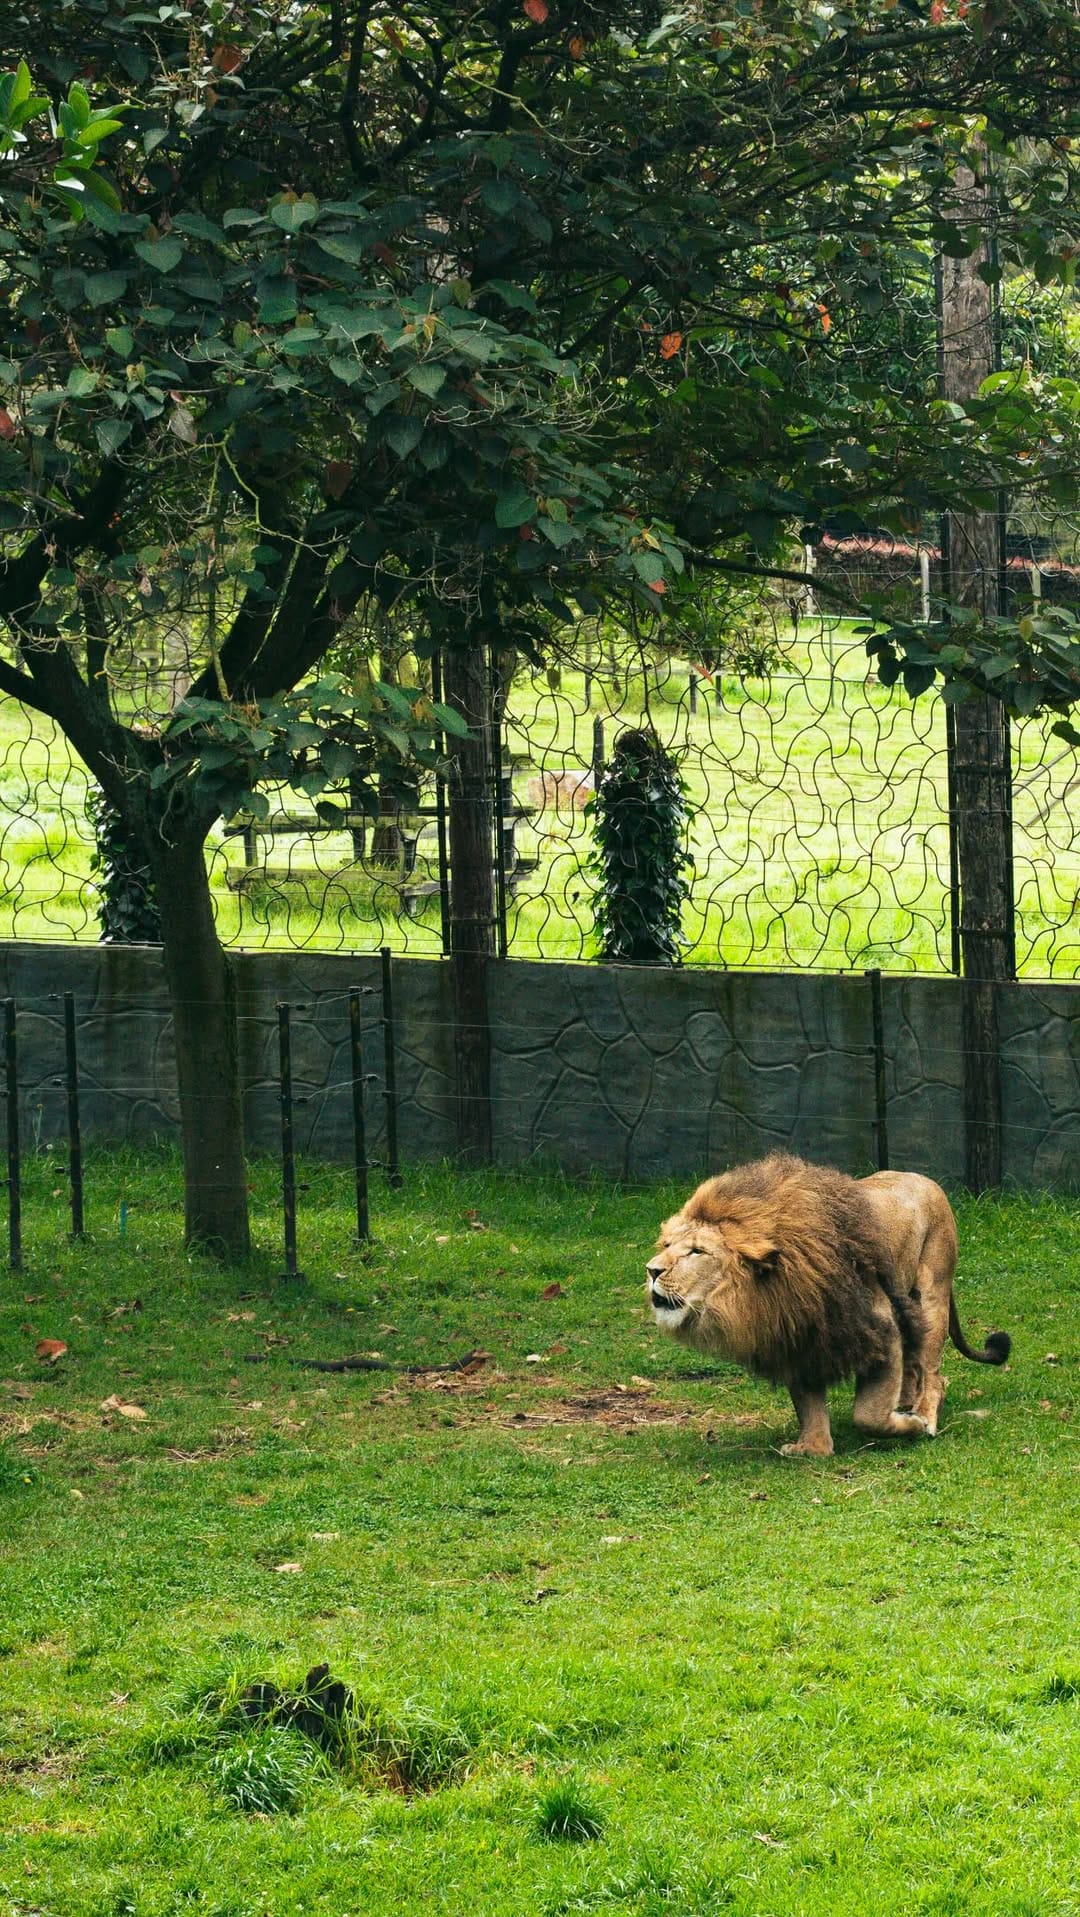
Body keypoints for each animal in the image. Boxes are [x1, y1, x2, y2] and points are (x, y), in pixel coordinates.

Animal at [646, 1152, 1010, 1457]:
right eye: (667, 1245)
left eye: (697, 1251)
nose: (652, 1270)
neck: (761, 1294)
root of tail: (925, 1179)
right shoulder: (799, 1339)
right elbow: (808, 1405)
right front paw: (813, 1448)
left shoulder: (880, 1329)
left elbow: (869, 1414)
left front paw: (909, 1426)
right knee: (914, 1364)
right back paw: (907, 1403)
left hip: (932, 1294)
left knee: (932, 1372)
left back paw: (924, 1416)